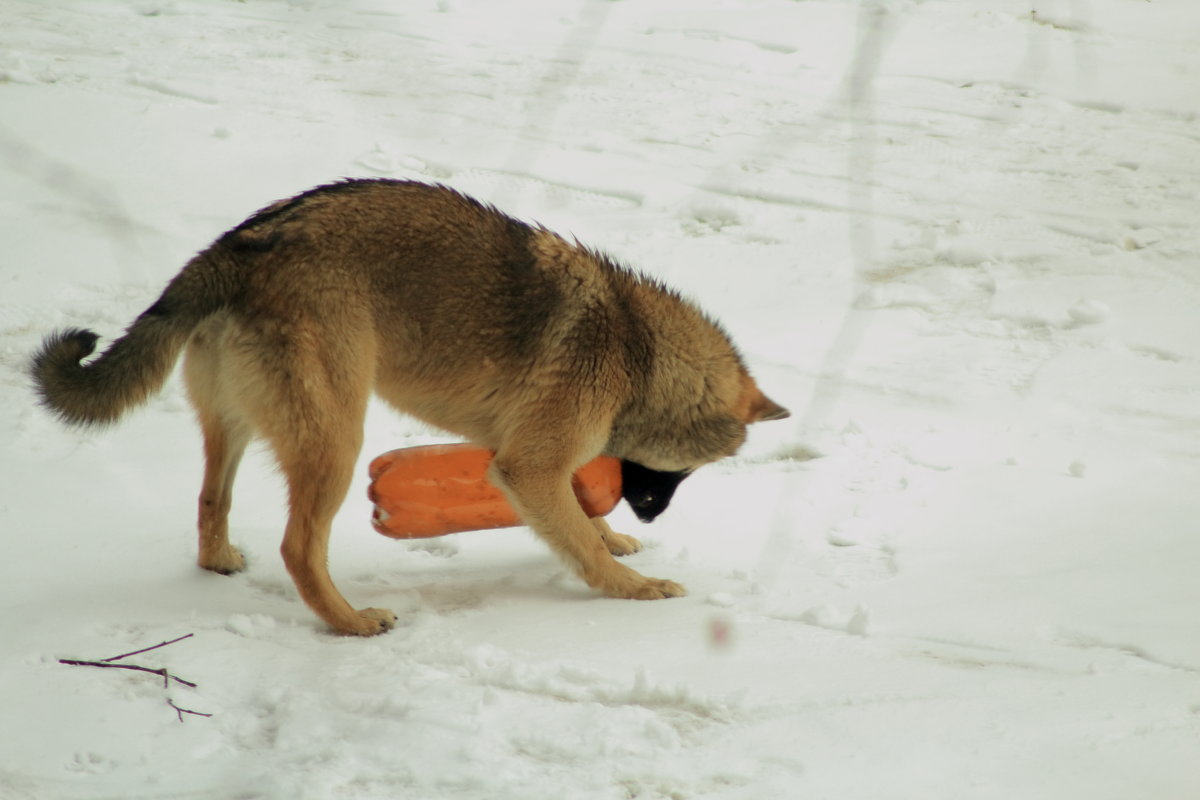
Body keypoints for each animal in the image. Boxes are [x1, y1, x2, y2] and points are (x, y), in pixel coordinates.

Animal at [30, 181, 787, 638]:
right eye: (689, 471)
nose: (652, 514)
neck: (636, 350)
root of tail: (235, 246)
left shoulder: (541, 462)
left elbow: (581, 518)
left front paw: (616, 541)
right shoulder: (527, 464)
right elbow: (580, 543)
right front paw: (636, 588)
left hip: (239, 427)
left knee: (211, 500)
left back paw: (220, 562)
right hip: (338, 443)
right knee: (298, 549)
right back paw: (350, 623)